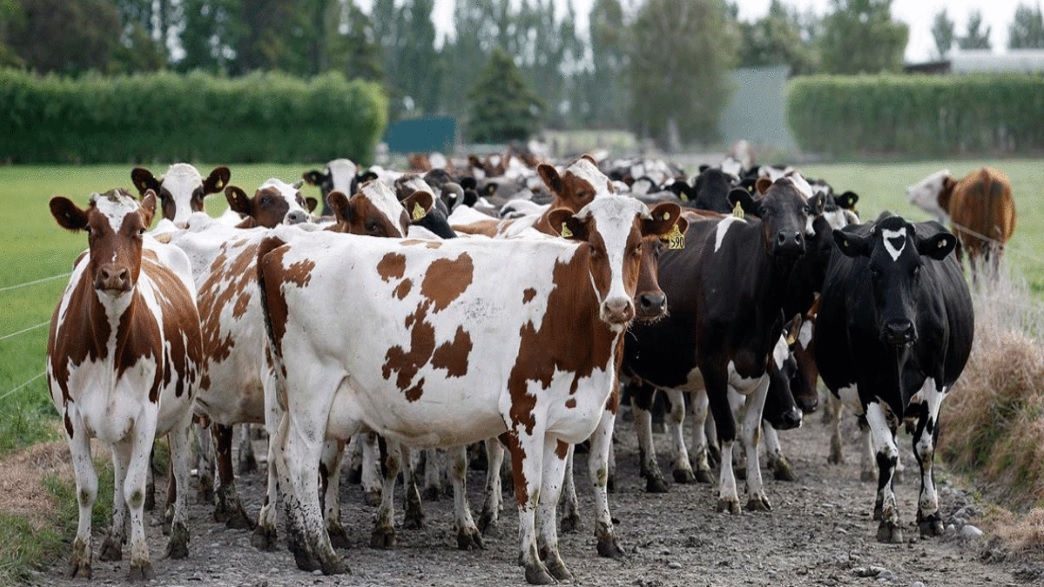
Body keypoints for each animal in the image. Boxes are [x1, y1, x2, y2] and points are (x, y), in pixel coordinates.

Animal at [44, 188, 203, 576]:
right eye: (91, 228)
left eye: (138, 230)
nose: (114, 274)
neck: (110, 345)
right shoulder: (72, 415)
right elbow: (89, 488)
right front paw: (82, 556)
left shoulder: (147, 412)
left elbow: (136, 490)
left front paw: (141, 559)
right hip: (117, 424)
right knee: (117, 471)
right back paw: (115, 540)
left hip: (184, 410)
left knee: (180, 464)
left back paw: (178, 537)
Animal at [258, 193, 684, 580]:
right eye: (593, 247)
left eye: (639, 246)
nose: (619, 306)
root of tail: (284, 248)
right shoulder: (525, 412)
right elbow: (528, 491)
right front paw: (533, 564)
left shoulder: (562, 423)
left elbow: (550, 493)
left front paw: (555, 560)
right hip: (312, 391)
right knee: (302, 460)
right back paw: (324, 553)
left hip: (289, 394)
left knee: (280, 450)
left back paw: (303, 550)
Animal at [622, 175, 810, 509]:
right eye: (764, 209)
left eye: (804, 208)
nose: (790, 239)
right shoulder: (712, 365)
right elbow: (726, 428)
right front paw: (728, 494)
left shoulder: (762, 367)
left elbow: (751, 432)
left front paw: (757, 493)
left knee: (641, 405)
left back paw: (653, 474)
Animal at [810, 212, 973, 543]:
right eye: (873, 268)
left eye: (917, 266)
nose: (899, 328)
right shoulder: (869, 386)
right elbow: (886, 452)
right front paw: (889, 518)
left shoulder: (935, 384)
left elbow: (925, 449)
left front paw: (931, 515)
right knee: (889, 446)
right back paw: (879, 503)